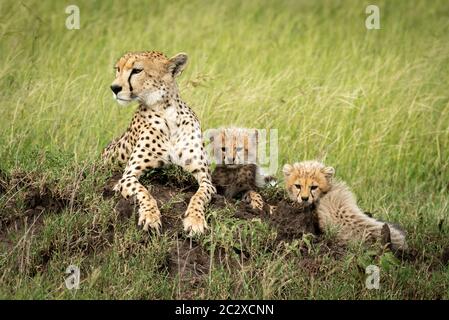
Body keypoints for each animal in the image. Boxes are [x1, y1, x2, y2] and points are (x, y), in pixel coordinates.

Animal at [102, 50, 214, 235]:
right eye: (117, 69)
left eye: (137, 70)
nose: (114, 88)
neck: (167, 111)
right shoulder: (127, 176)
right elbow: (144, 192)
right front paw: (150, 216)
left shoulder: (205, 177)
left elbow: (199, 196)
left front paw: (195, 220)